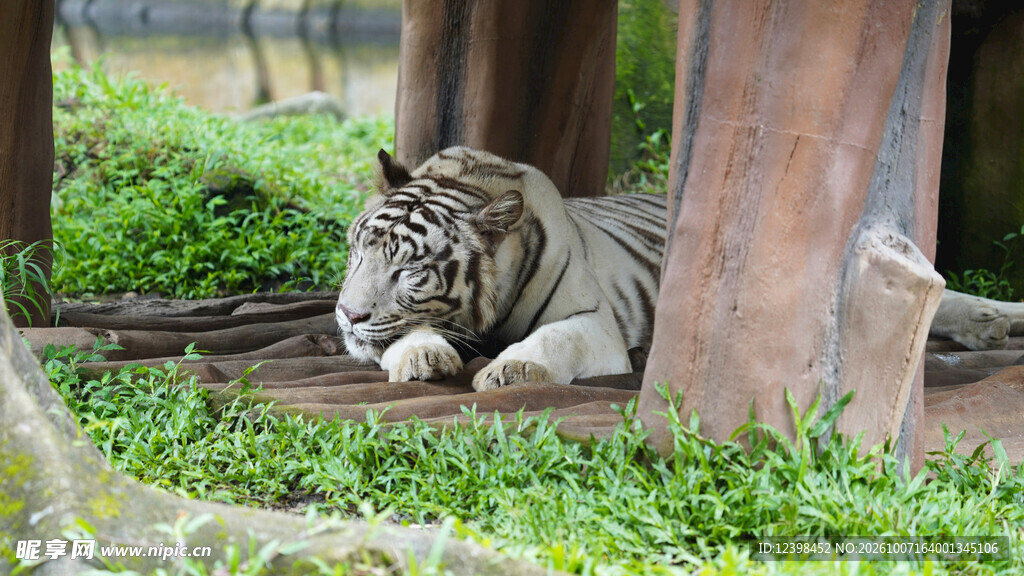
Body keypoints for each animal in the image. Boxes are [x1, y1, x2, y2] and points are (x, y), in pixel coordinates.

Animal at [335, 146, 666, 391]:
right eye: (359, 253)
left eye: (409, 270)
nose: (349, 314)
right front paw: (423, 356)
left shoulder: (597, 320)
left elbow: (557, 337)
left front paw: (511, 369)